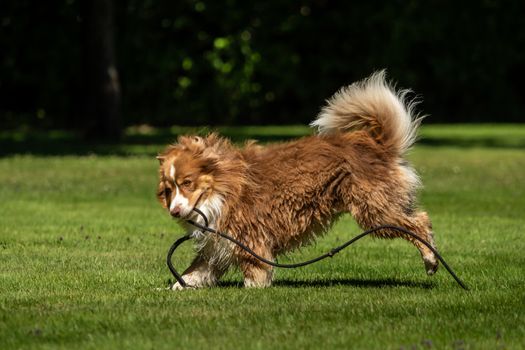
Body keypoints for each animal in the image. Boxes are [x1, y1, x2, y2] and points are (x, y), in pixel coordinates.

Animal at [156, 69, 438, 288]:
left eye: (187, 183)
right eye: (169, 189)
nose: (174, 211)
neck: (222, 188)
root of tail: (378, 145)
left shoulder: (249, 237)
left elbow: (254, 271)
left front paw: (254, 289)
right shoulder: (217, 243)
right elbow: (194, 273)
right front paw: (173, 289)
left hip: (375, 210)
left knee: (420, 222)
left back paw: (431, 259)